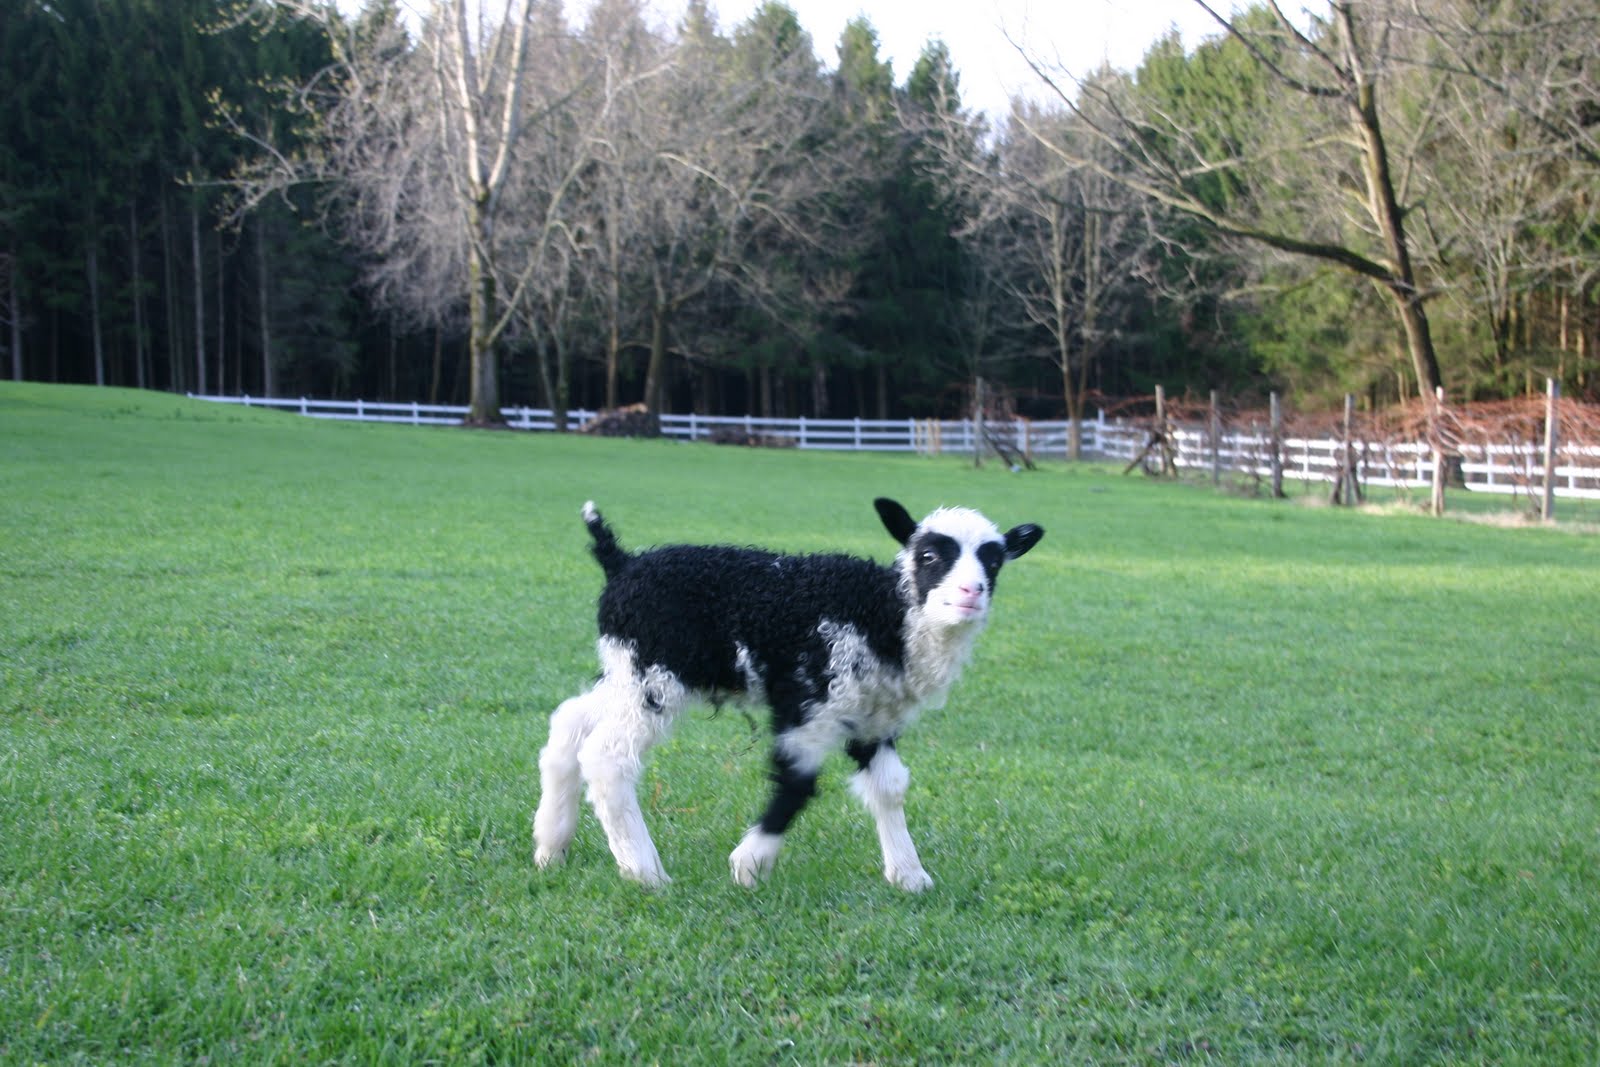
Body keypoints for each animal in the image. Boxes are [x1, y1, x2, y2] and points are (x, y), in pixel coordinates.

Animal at [532, 496, 1043, 891]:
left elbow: (890, 787)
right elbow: (797, 780)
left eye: (994, 561)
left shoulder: (872, 714)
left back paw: (551, 846)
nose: (972, 592)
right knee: (608, 756)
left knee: (570, 721)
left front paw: (909, 875)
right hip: (655, 675)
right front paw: (750, 864)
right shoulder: (812, 695)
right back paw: (645, 872)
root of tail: (622, 562)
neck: (884, 612)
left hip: (628, 670)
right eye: (930, 557)